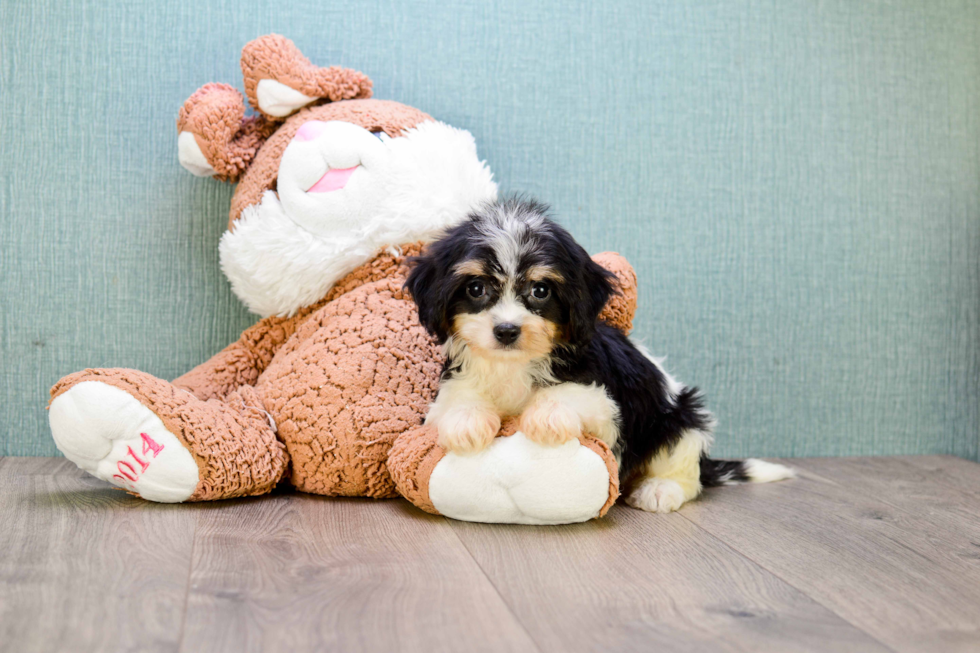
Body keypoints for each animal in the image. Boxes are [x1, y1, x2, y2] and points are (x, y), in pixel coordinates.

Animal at [402, 196, 792, 512]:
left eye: (540, 290)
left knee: (685, 469)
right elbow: (456, 399)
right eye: (476, 288)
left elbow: (571, 396)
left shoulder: (603, 402)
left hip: (680, 419)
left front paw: (545, 417)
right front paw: (466, 423)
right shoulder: (454, 382)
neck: (514, 365)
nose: (507, 330)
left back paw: (659, 489)